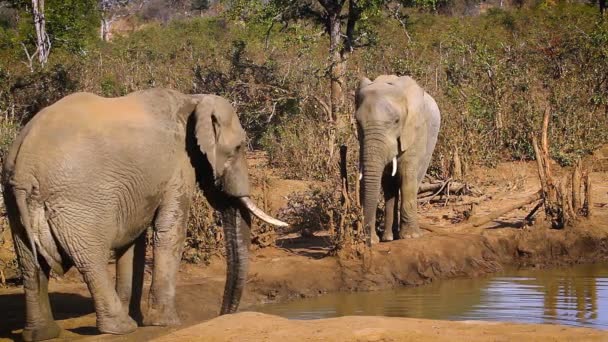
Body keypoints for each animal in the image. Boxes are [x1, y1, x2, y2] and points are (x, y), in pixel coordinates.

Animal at [1, 89, 288, 342]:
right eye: (238, 147)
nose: (223, 315)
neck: (193, 100)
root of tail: (26, 164)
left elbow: (133, 241)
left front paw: (141, 317)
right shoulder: (178, 166)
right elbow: (170, 230)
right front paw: (165, 323)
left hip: (14, 197)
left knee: (30, 263)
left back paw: (41, 334)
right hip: (77, 200)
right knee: (90, 259)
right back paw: (121, 327)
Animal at [354, 76, 440, 244]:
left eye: (396, 121)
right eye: (357, 123)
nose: (368, 241)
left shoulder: (414, 130)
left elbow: (407, 175)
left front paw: (411, 237)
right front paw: (375, 240)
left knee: (414, 180)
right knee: (389, 187)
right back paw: (388, 237)